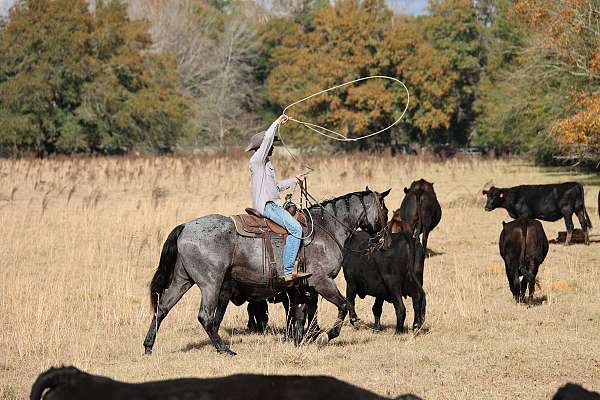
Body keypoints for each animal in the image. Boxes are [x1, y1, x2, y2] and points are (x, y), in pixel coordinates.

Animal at [143, 188, 392, 354]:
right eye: (386, 211)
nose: (384, 241)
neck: (326, 229)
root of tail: (185, 226)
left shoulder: (302, 288)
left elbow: (300, 314)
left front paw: (300, 340)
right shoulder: (322, 281)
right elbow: (343, 305)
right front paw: (326, 336)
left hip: (182, 280)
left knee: (162, 308)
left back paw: (148, 346)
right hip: (210, 284)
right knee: (205, 316)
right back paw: (225, 349)